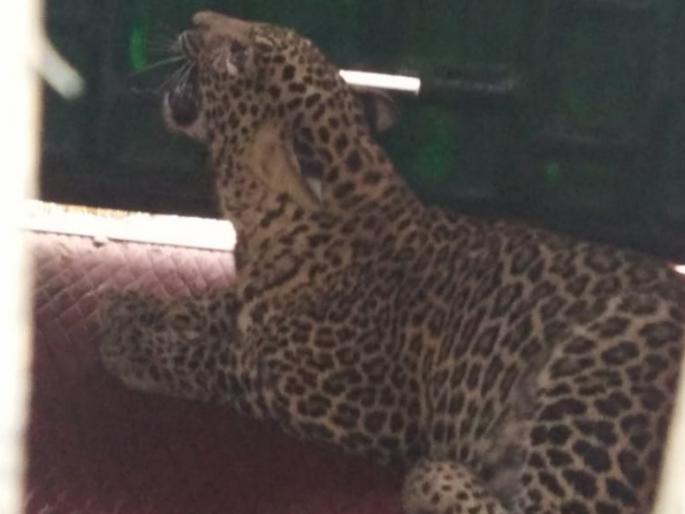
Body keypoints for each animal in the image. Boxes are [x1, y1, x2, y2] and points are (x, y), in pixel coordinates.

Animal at [100, 10, 685, 514]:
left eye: (239, 56)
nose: (195, 18)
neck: (263, 226)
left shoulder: (355, 405)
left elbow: (221, 362)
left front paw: (134, 345)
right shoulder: (248, 300)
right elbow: (213, 306)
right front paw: (130, 305)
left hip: (588, 389)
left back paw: (436, 476)